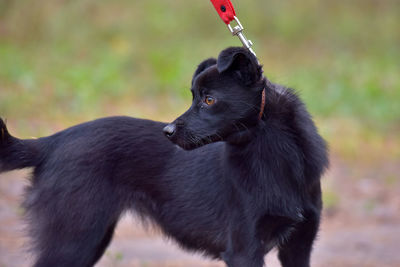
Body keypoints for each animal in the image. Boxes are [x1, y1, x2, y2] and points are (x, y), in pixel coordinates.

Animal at [0, 47, 328, 266]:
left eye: (209, 100)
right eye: (193, 97)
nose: (167, 132)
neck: (274, 156)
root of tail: (52, 142)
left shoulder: (298, 246)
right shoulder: (244, 249)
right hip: (73, 238)